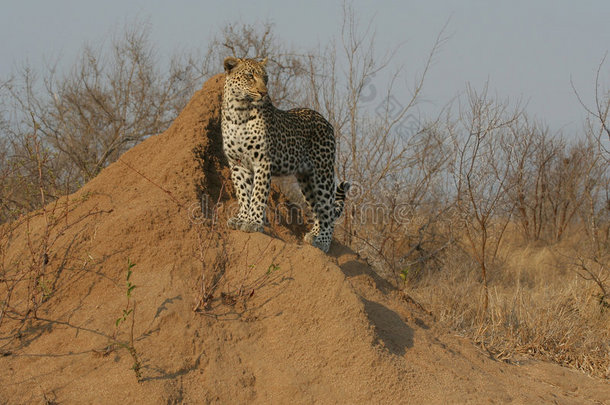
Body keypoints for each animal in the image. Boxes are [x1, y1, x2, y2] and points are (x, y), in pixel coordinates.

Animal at [221, 56, 350, 252]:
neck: (239, 112)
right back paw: (313, 235)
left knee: (328, 210)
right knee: (318, 209)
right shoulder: (237, 163)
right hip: (306, 180)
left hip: (322, 172)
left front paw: (253, 222)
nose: (263, 92)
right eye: (250, 76)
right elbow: (243, 193)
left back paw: (323, 242)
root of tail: (325, 120)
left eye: (265, 78)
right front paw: (241, 219)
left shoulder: (263, 161)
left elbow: (258, 194)